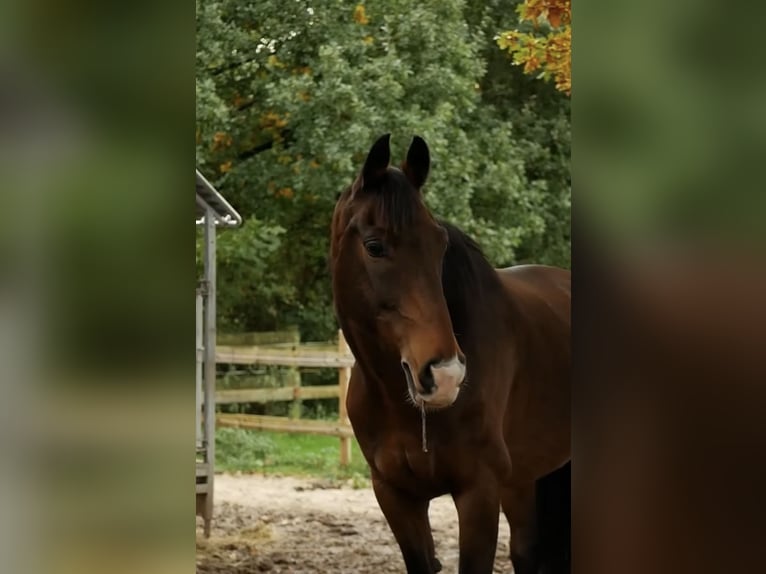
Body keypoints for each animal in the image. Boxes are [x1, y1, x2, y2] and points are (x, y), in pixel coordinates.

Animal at [330, 134, 570, 574]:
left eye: (439, 244)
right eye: (374, 246)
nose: (445, 376)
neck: (400, 406)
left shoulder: (479, 491)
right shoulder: (395, 495)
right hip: (526, 479)